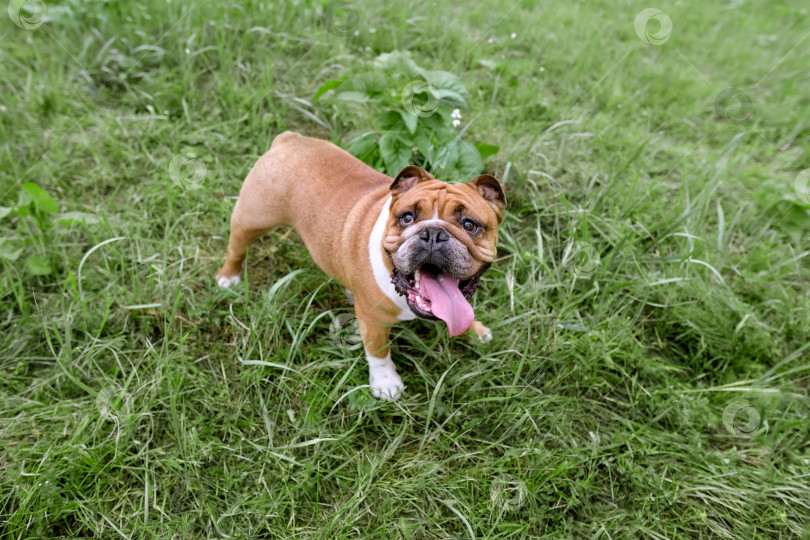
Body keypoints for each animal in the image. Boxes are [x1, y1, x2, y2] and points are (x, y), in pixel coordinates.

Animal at [216, 132, 504, 398]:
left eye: (469, 225)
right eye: (407, 218)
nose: (433, 234)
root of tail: (290, 139)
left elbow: (463, 313)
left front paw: (476, 331)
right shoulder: (372, 320)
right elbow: (378, 351)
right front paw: (386, 383)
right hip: (253, 218)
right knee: (236, 247)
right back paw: (229, 277)